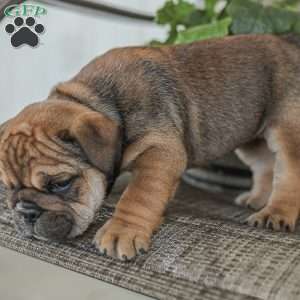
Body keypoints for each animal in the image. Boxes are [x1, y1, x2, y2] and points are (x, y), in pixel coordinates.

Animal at [0, 34, 300, 260]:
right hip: (250, 136)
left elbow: (139, 195)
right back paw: (258, 199)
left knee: (287, 172)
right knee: (264, 165)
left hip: (286, 129)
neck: (98, 100)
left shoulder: (160, 152)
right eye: (9, 187)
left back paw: (274, 213)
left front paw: (122, 231)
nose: (26, 212)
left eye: (61, 184)